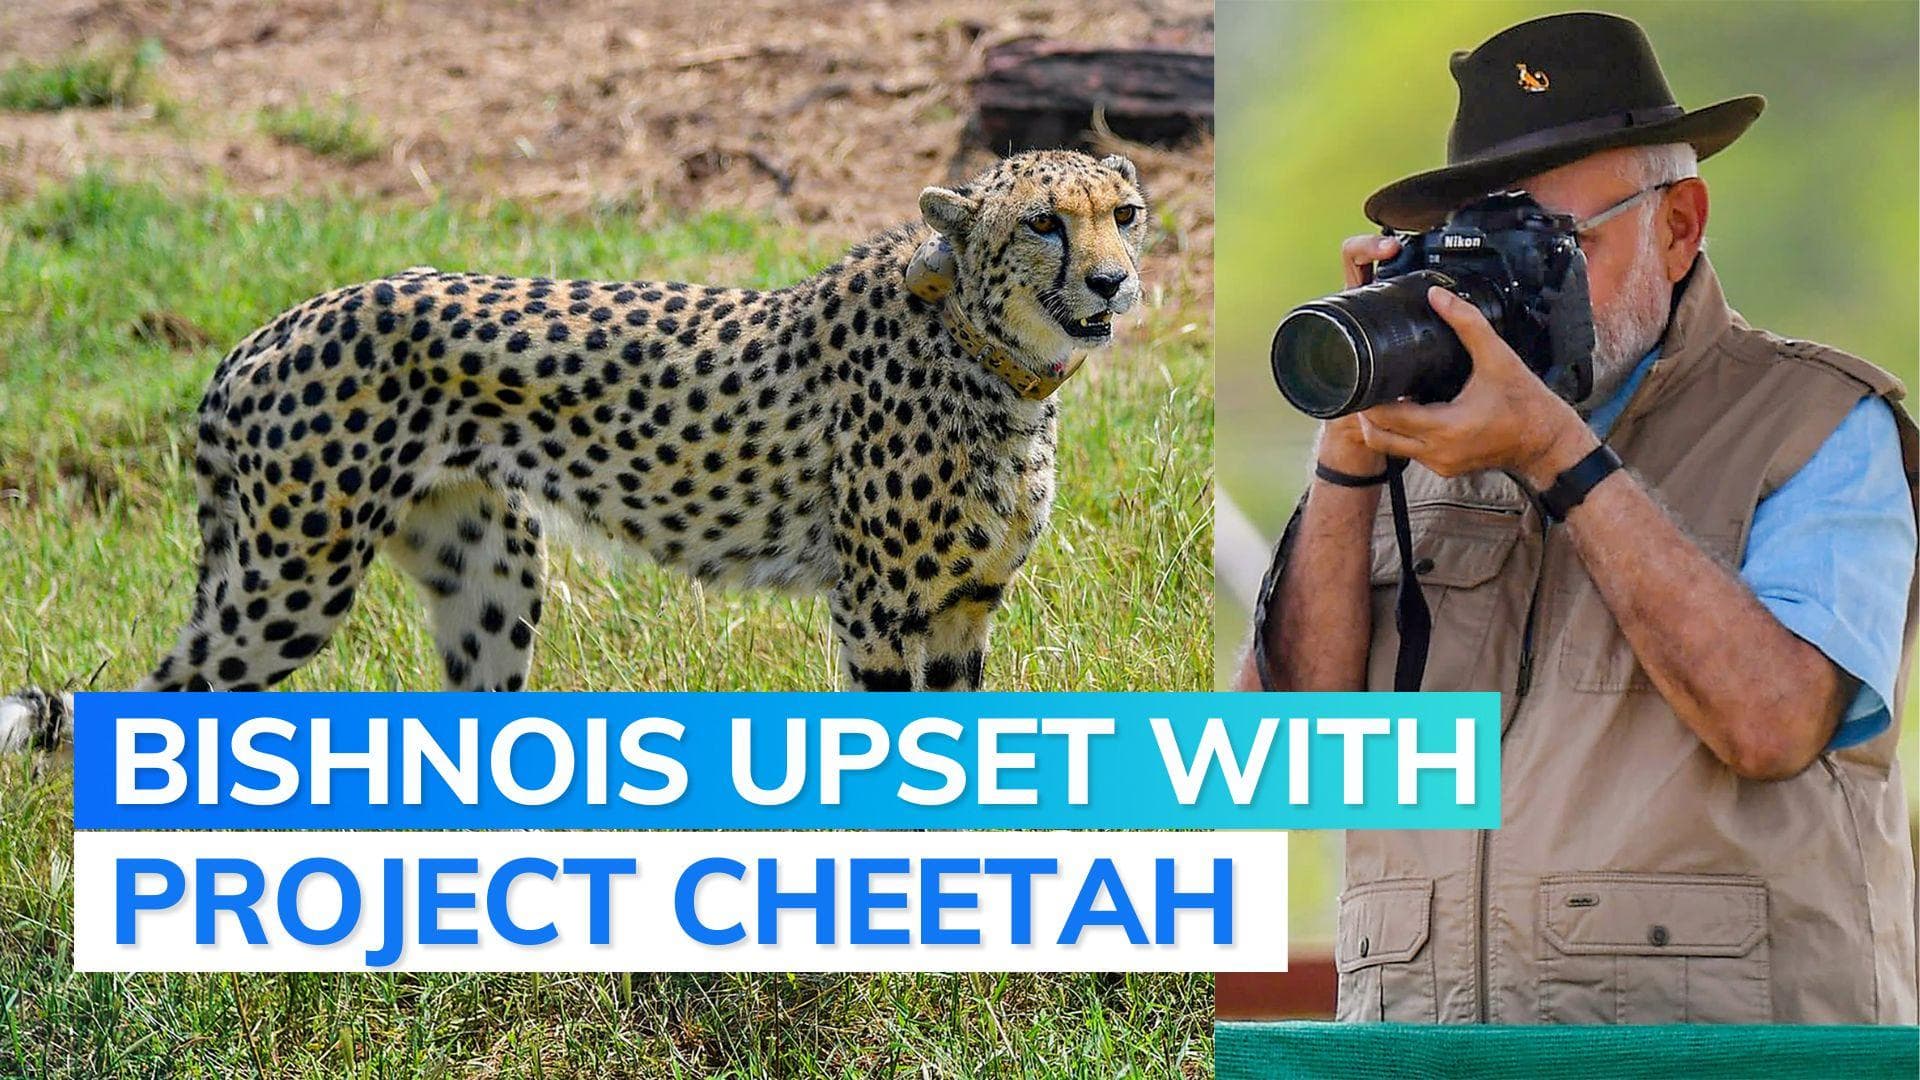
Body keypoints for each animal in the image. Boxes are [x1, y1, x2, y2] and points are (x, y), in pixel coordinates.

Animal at [0, 149, 1148, 749]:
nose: (1113, 281)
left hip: (489, 569)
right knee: (161, 703)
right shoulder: (876, 608)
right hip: (292, 582)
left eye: (1126, 213)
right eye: (1044, 224)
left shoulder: (963, 605)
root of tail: (268, 328)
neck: (998, 362)